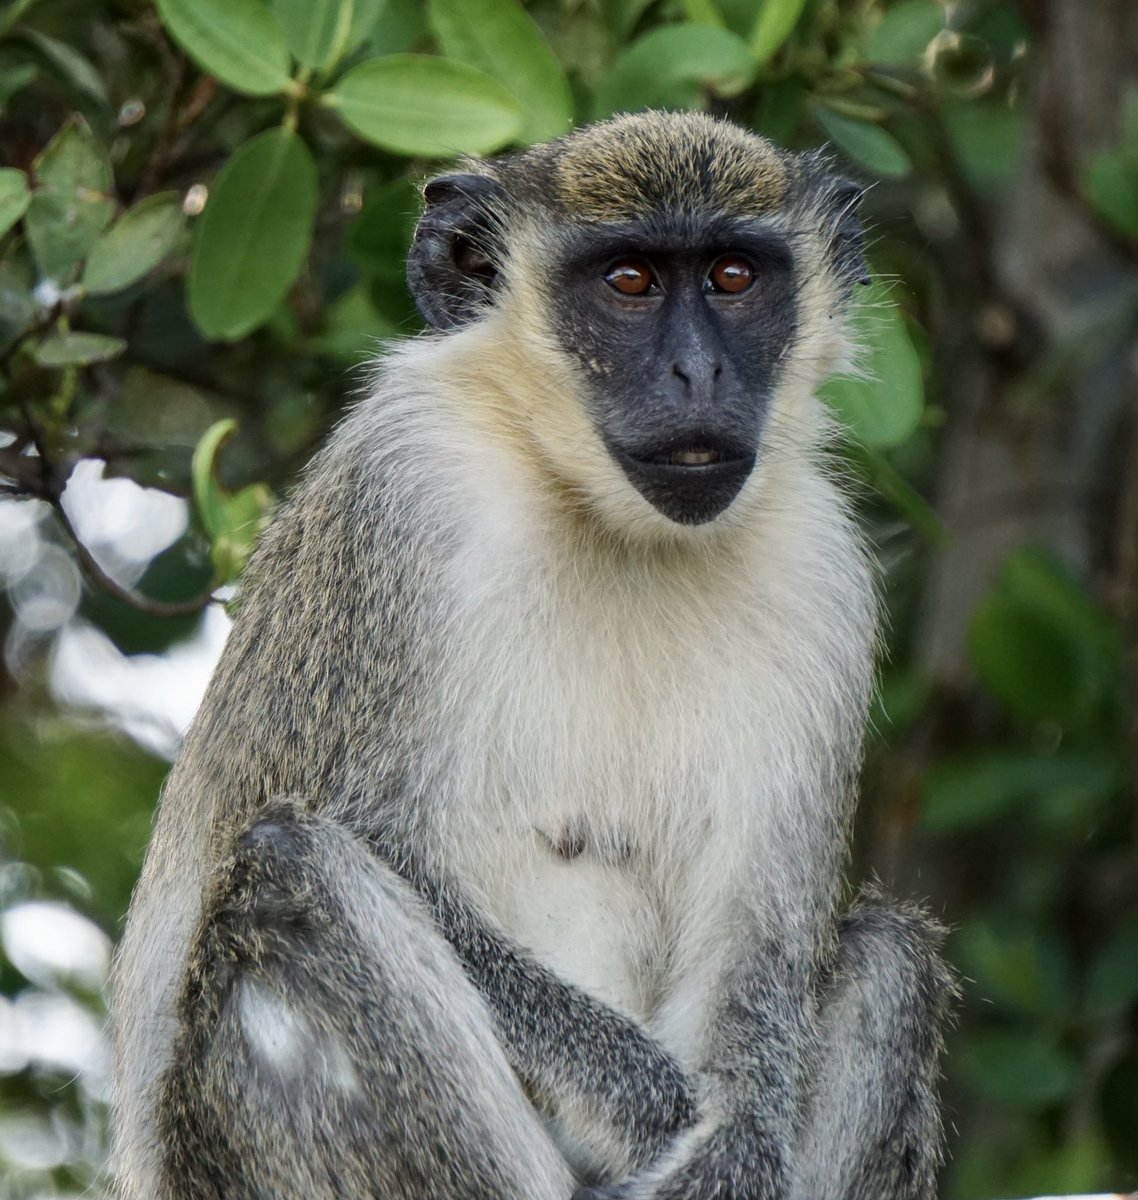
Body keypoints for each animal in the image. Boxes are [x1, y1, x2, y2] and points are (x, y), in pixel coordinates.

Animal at [111, 110, 954, 1200]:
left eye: (732, 276)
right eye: (629, 281)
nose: (699, 374)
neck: (610, 524)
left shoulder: (824, 578)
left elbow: (758, 954)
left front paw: (728, 1149)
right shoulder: (404, 495)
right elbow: (378, 843)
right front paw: (649, 1106)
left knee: (893, 957)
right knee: (297, 870)